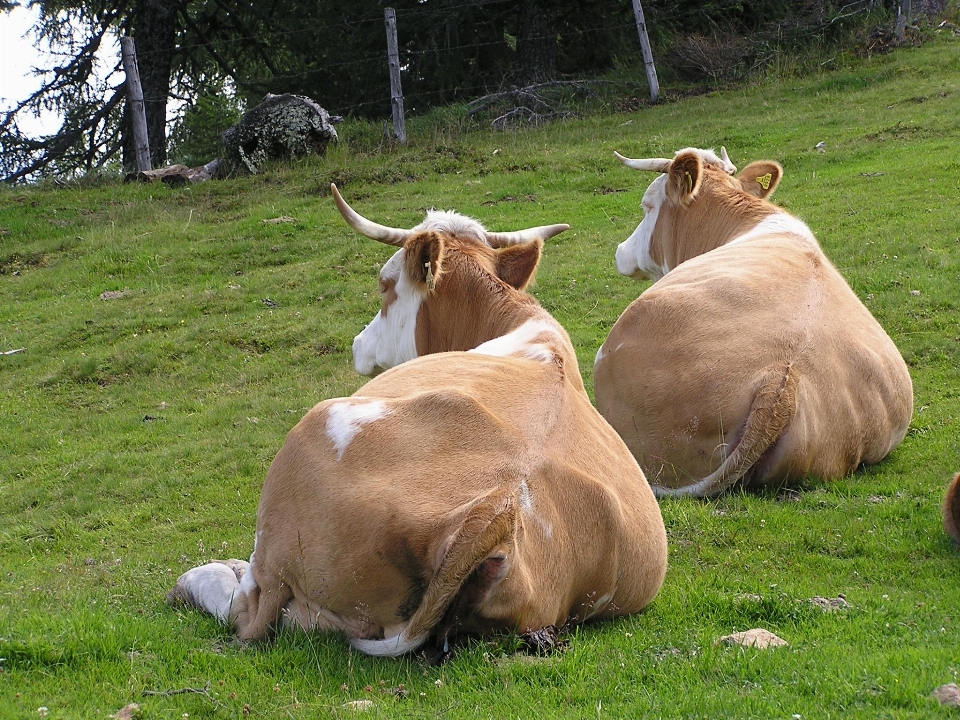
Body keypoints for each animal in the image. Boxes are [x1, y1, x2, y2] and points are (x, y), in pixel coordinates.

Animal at [169, 187, 668, 660]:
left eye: (385, 286)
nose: (357, 344)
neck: (523, 327)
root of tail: (498, 506)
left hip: (301, 460)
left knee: (251, 610)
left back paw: (200, 578)